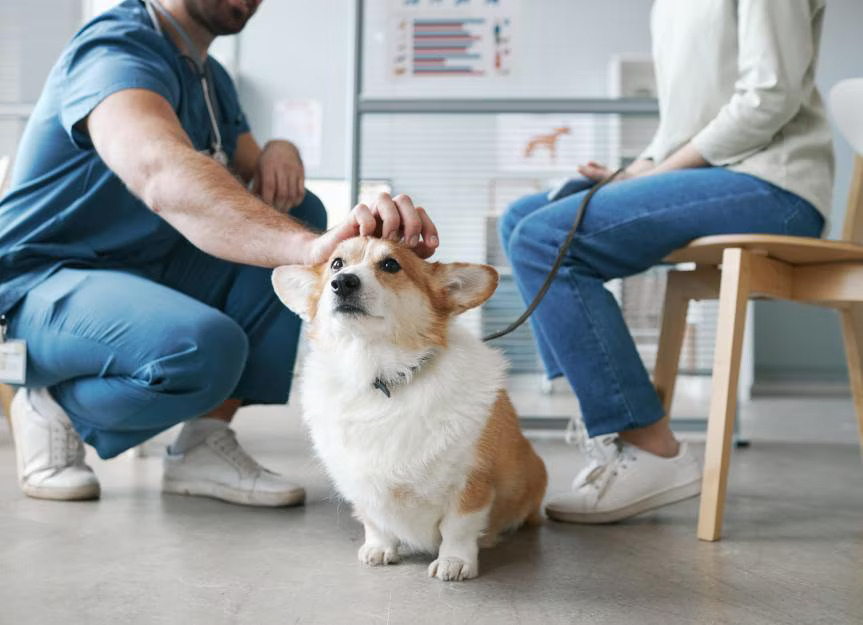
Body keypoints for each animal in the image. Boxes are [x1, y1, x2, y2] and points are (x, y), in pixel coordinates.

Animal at [272, 235, 548, 580]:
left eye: (391, 264)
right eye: (336, 263)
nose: (343, 282)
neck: (379, 375)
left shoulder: (471, 482)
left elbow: (458, 528)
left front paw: (454, 562)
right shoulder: (361, 484)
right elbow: (374, 522)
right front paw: (379, 548)